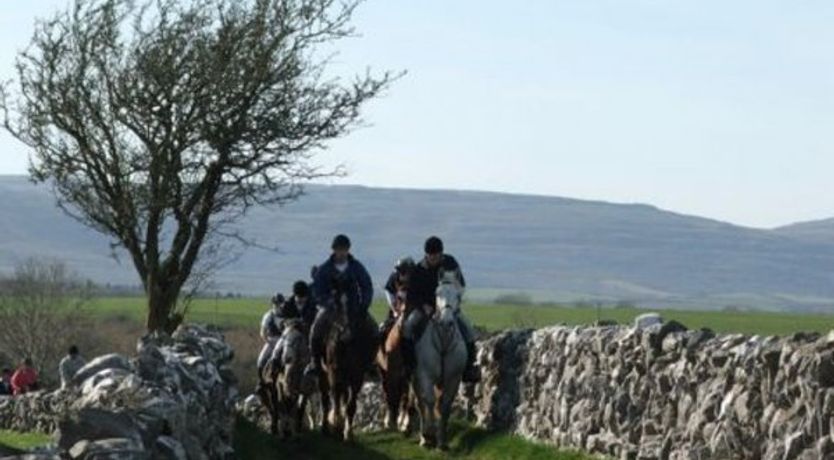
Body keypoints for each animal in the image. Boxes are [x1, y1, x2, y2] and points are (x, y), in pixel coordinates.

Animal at [412, 274, 468, 448]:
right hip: (415, 380)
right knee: (420, 403)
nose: (446, 322)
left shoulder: (453, 378)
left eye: (459, 295)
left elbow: (445, 406)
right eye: (437, 293)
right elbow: (429, 401)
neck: (443, 342)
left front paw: (442, 441)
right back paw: (424, 437)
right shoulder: (425, 376)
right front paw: (429, 435)